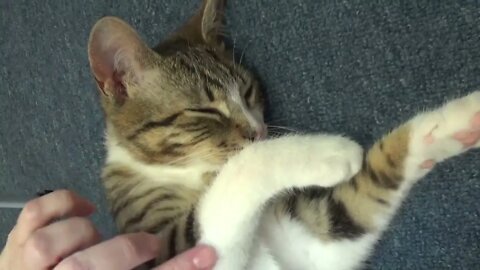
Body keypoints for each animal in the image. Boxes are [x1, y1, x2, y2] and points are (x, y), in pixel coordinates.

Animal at [87, 0, 480, 270]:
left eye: (248, 91)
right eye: (206, 111)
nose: (259, 130)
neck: (187, 172)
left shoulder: (310, 244)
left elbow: (366, 188)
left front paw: (461, 119)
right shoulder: (175, 249)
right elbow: (238, 169)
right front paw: (327, 152)